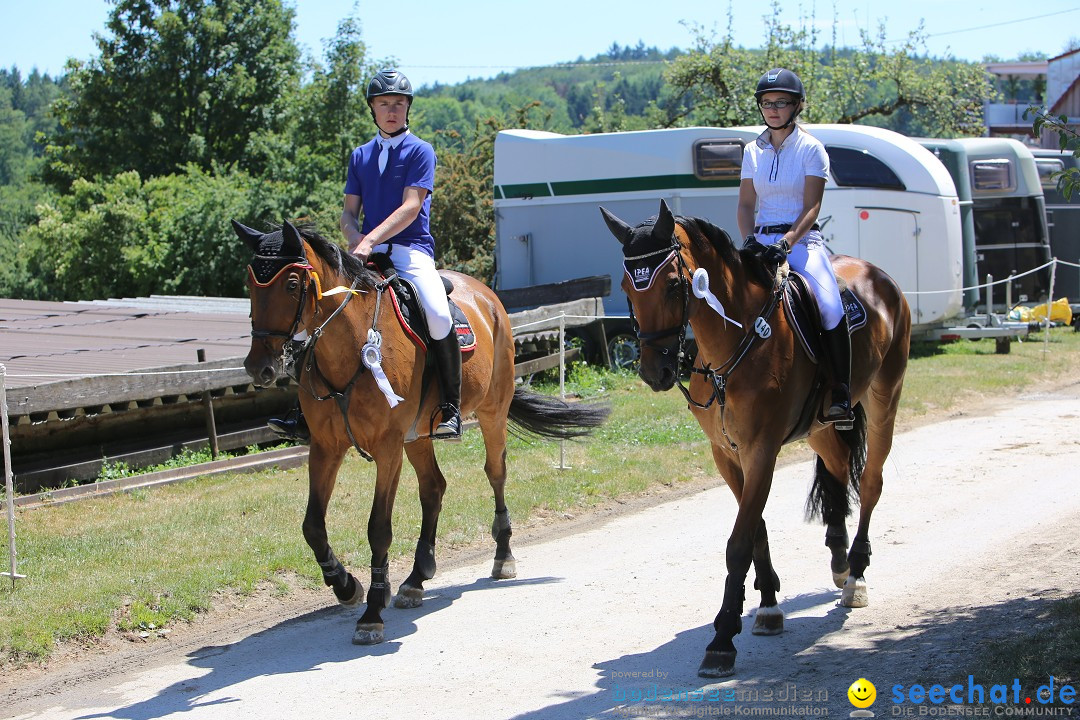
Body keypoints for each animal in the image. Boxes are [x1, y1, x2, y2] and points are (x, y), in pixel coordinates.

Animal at [233, 221, 609, 647]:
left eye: (292, 283)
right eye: (250, 282)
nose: (258, 367)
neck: (352, 345)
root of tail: (487, 296)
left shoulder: (388, 449)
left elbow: (378, 529)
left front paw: (372, 614)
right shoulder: (327, 447)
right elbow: (312, 525)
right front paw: (345, 585)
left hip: (490, 413)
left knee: (495, 474)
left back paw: (503, 557)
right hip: (418, 437)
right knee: (433, 488)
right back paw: (417, 578)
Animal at [600, 199, 911, 677]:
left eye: (672, 285)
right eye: (625, 287)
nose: (655, 372)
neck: (733, 342)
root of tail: (880, 276)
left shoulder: (761, 450)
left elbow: (739, 541)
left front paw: (723, 638)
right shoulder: (727, 454)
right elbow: (756, 528)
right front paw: (767, 605)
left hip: (884, 399)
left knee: (871, 482)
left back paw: (856, 575)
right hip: (820, 426)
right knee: (838, 471)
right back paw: (840, 560)